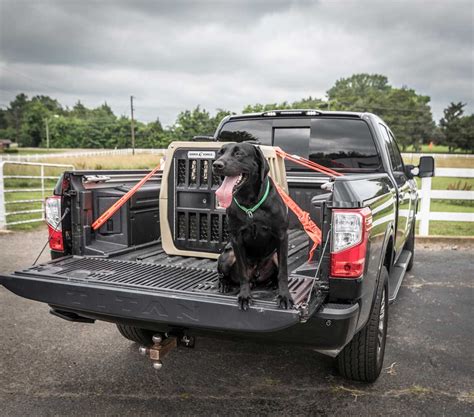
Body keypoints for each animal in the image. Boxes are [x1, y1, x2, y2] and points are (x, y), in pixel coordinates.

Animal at [212, 143, 292, 308]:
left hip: (275, 255)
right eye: (220, 153)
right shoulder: (236, 239)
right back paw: (224, 284)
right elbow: (243, 273)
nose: (217, 165)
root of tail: (256, 275)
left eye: (239, 154)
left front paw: (284, 296)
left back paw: (272, 283)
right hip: (227, 255)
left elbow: (283, 272)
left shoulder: (282, 235)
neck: (251, 204)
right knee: (225, 275)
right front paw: (244, 295)